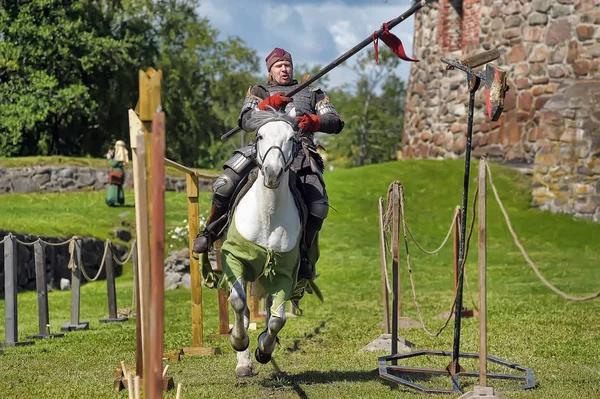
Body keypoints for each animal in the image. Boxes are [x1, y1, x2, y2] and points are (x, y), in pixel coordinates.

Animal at [218, 106, 302, 378]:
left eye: (291, 138)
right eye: (260, 135)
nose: (272, 173)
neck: (268, 214)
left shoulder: (284, 271)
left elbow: (277, 319)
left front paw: (265, 349)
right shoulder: (235, 261)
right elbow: (238, 303)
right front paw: (239, 342)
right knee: (244, 311)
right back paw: (243, 363)